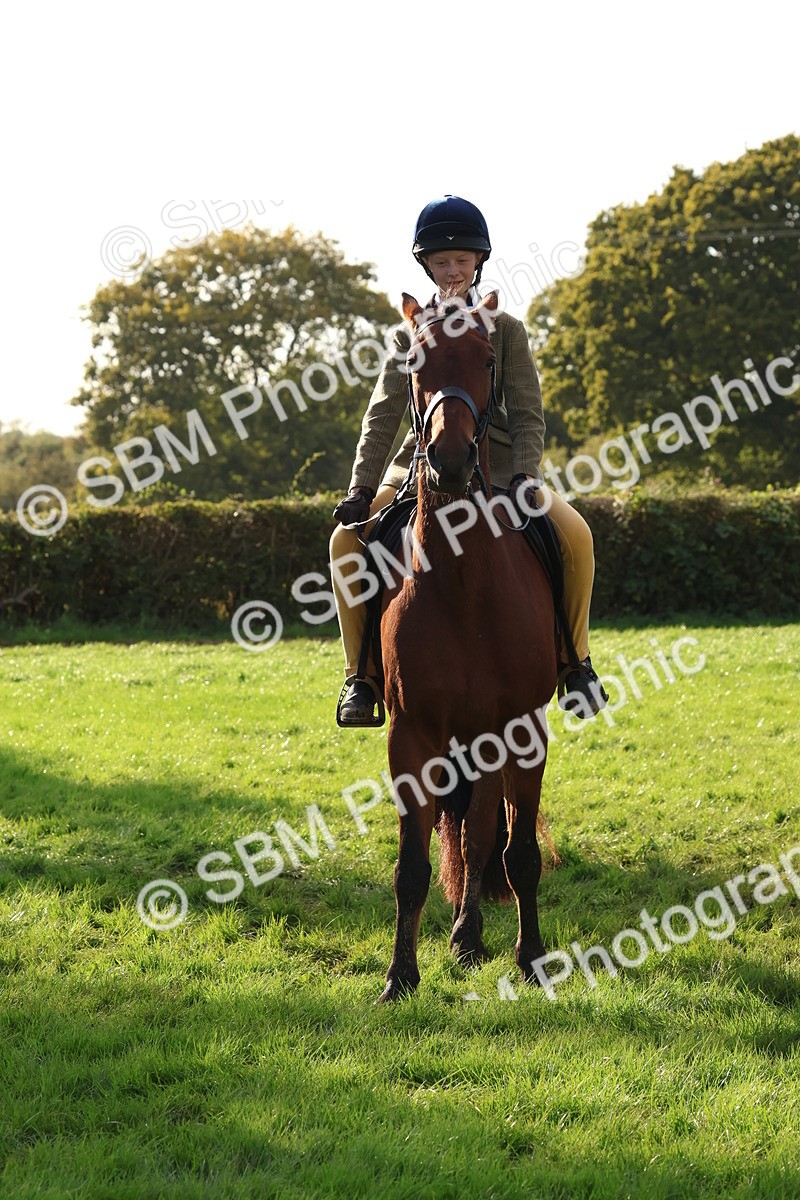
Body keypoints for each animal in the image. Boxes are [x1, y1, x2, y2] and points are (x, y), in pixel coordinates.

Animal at [376, 289, 558, 1003]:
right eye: (413, 362)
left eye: (487, 358)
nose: (451, 460)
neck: (465, 586)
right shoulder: (413, 737)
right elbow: (412, 866)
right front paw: (400, 975)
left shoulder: (521, 728)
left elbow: (519, 853)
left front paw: (532, 958)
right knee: (466, 831)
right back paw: (464, 934)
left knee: (482, 835)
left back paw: (471, 935)